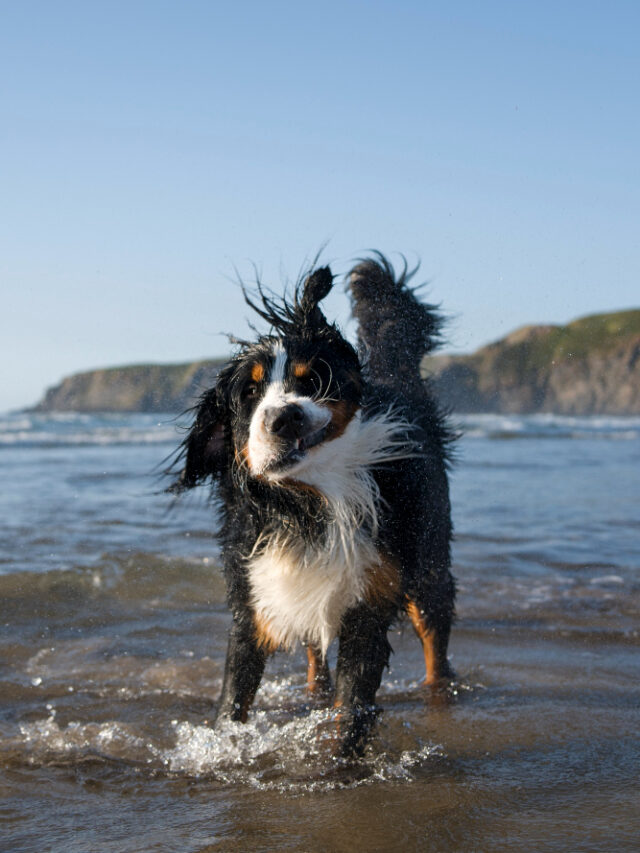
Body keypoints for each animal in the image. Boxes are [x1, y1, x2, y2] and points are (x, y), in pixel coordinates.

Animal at [170, 253, 456, 752]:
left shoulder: (368, 604)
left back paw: (439, 695)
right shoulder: (254, 597)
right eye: (249, 392)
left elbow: (351, 708)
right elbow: (233, 699)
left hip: (430, 562)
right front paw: (223, 745)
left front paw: (342, 761)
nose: (285, 417)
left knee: (434, 637)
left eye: (312, 380)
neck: (308, 504)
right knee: (313, 651)